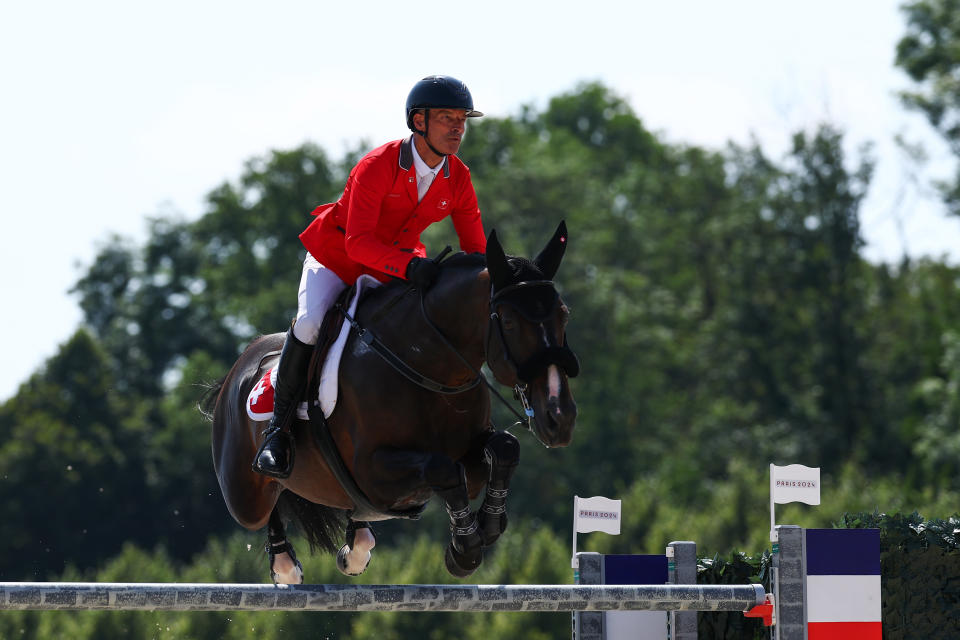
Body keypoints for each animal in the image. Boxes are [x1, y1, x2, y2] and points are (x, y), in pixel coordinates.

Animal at [203, 222, 576, 584]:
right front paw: (464, 550)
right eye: (509, 322)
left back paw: (357, 546)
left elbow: (504, 447)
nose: (559, 417)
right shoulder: (371, 469)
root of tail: (238, 368)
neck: (429, 365)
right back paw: (283, 559)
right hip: (245, 497)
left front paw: (488, 524)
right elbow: (442, 467)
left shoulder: (468, 453)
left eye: (564, 315)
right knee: (268, 503)